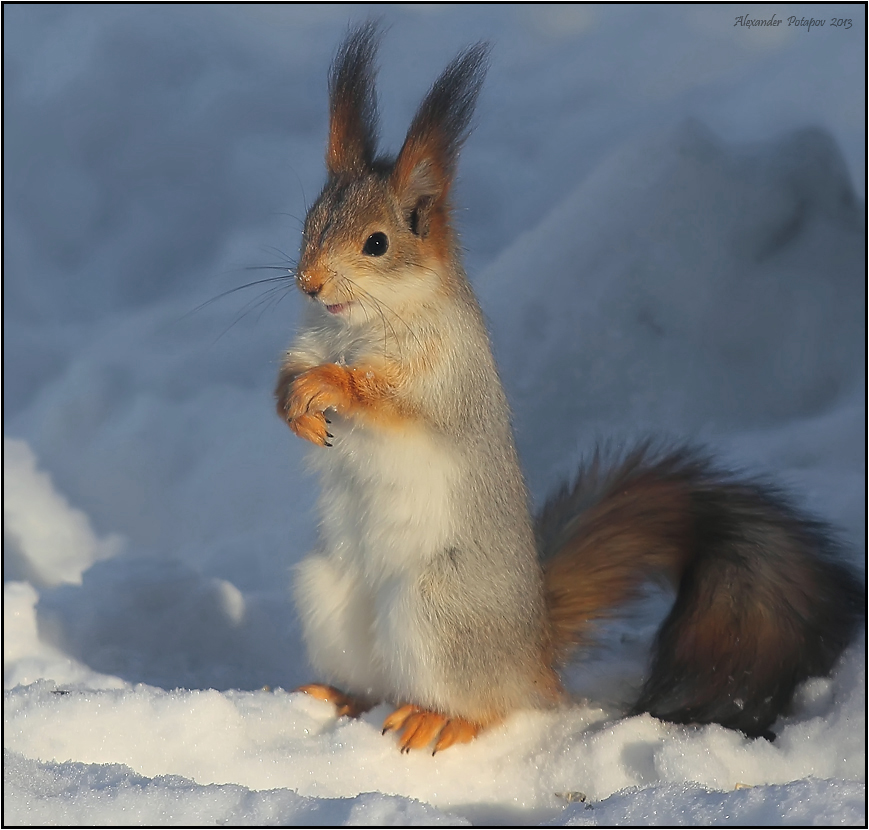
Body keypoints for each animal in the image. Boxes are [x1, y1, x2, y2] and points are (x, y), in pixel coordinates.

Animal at [276, 24, 860, 752]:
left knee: (490, 704)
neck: (356, 325)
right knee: (372, 680)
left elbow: (395, 403)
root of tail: (534, 653)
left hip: (437, 610)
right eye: (309, 221)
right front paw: (292, 403)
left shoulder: (444, 378)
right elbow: (288, 370)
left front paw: (332, 387)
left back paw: (441, 719)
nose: (308, 283)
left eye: (377, 243)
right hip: (327, 597)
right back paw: (335, 694)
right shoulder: (310, 338)